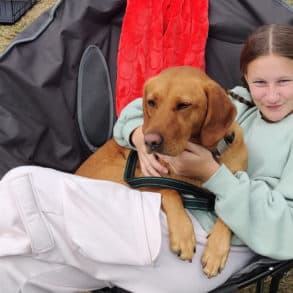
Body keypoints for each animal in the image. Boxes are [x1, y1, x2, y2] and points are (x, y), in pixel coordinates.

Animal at [76, 65, 246, 276]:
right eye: (151, 102)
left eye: (184, 105)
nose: (149, 141)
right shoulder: (144, 177)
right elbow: (170, 190)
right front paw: (183, 234)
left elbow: (233, 213)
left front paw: (216, 251)